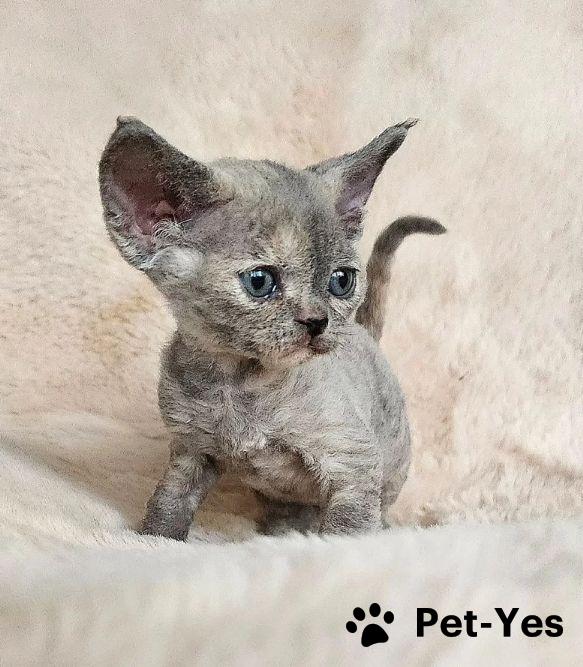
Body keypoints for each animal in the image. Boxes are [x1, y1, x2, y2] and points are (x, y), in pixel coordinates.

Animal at [99, 116, 445, 539]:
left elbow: (348, 532)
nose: (317, 322)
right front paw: (155, 538)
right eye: (260, 281)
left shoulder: (352, 464)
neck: (239, 383)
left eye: (341, 281)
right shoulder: (191, 451)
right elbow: (170, 502)